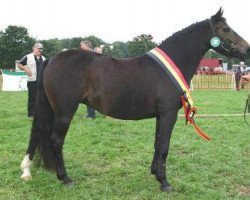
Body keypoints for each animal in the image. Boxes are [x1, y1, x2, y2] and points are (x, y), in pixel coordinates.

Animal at [20, 8, 249, 193]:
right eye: (226, 28)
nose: (247, 49)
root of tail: (52, 58)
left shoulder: (161, 116)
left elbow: (157, 144)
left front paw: (155, 173)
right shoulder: (169, 115)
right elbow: (164, 146)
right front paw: (165, 183)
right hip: (64, 113)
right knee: (56, 141)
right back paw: (65, 178)